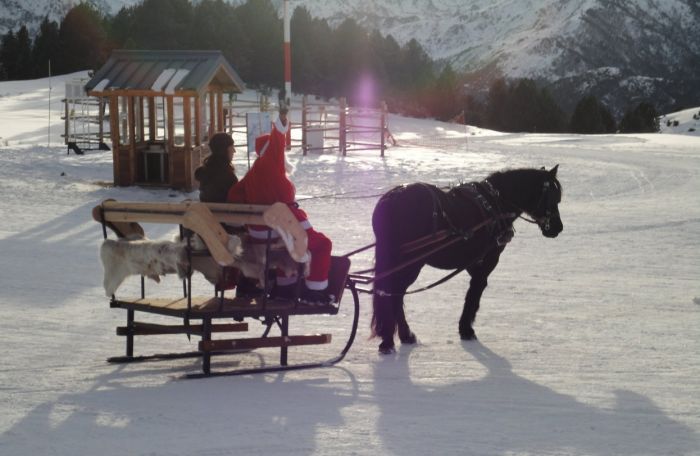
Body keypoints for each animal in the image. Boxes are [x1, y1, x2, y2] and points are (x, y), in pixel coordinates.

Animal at [372, 166, 564, 354]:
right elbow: (475, 293)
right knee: (395, 293)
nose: (558, 227)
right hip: (410, 263)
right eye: (553, 198)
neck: (496, 203)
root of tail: (391, 199)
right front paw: (466, 329)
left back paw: (401, 337)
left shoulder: (473, 262)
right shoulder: (488, 260)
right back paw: (394, 338)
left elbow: (473, 291)